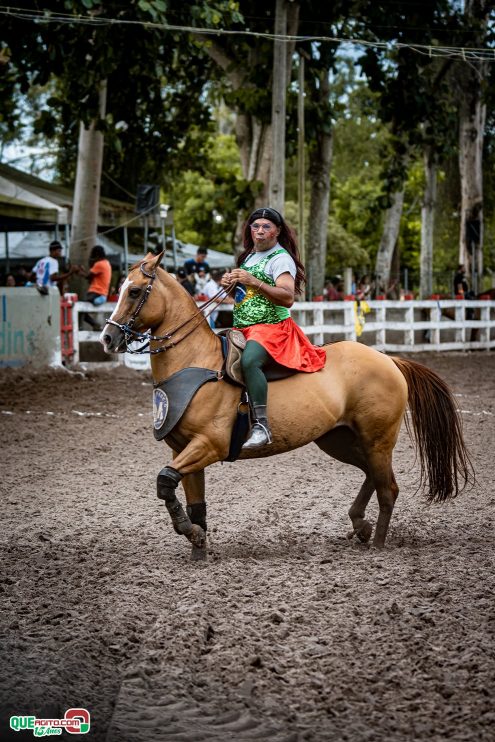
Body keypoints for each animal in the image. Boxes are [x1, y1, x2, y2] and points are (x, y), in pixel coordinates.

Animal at [100, 253, 472, 560]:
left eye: (134, 292)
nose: (108, 338)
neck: (196, 363)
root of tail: (388, 359)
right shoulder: (183, 449)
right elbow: (195, 505)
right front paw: (198, 547)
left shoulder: (208, 445)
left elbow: (165, 482)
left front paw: (190, 534)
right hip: (339, 439)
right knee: (372, 475)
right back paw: (360, 525)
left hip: (377, 440)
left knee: (388, 489)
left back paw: (378, 544)